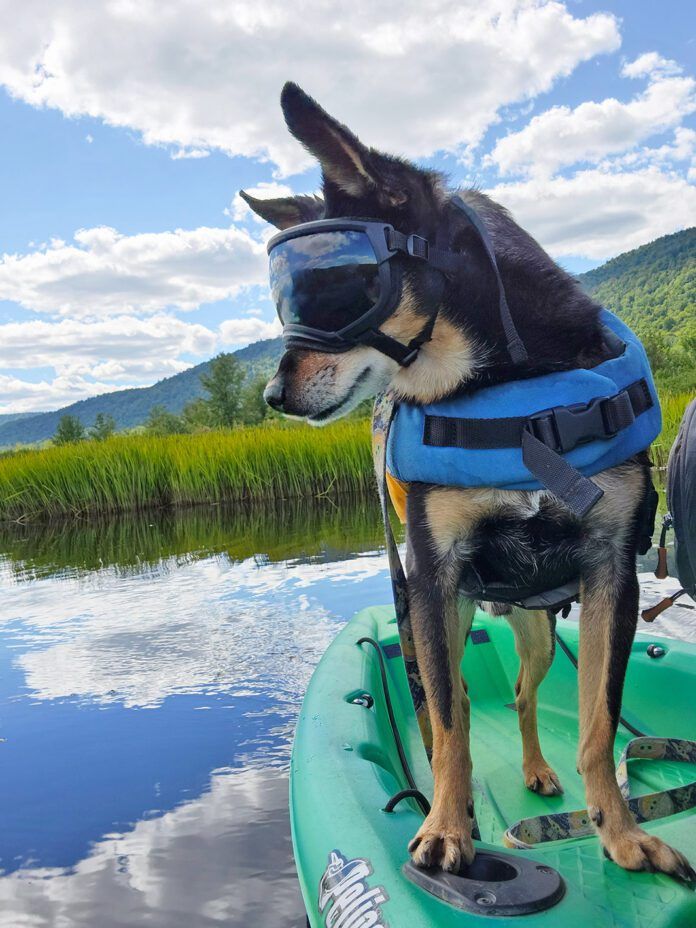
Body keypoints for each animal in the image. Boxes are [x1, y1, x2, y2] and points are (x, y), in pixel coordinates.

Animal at [242, 83, 692, 880]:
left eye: (337, 284)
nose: (272, 395)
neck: (507, 390)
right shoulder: (433, 577)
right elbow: (450, 724)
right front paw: (448, 828)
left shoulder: (612, 572)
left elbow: (598, 721)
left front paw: (619, 832)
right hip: (444, 618)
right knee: (450, 702)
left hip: (539, 630)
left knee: (521, 695)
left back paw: (540, 771)